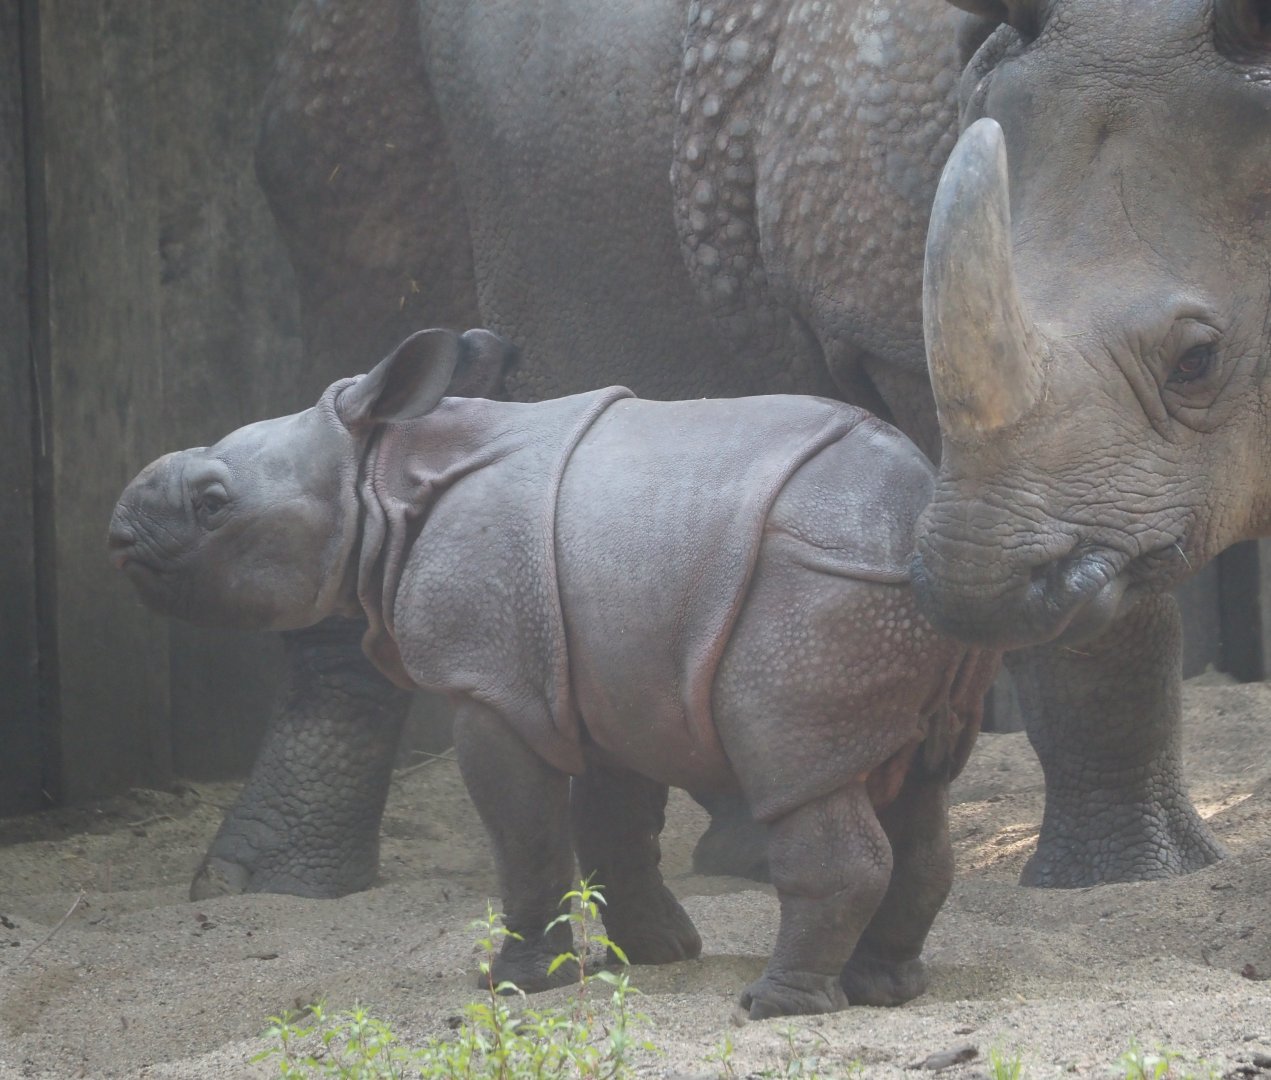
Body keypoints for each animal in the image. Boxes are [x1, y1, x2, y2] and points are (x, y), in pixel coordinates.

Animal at [110, 327, 998, 1018]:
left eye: (214, 503)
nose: (117, 530)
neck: (376, 477)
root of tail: (917, 512)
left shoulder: (492, 683)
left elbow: (526, 836)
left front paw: (514, 986)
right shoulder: (610, 673)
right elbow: (610, 828)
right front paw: (655, 956)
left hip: (818, 586)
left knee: (800, 771)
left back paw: (775, 1006)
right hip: (882, 593)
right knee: (917, 789)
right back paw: (885, 990)